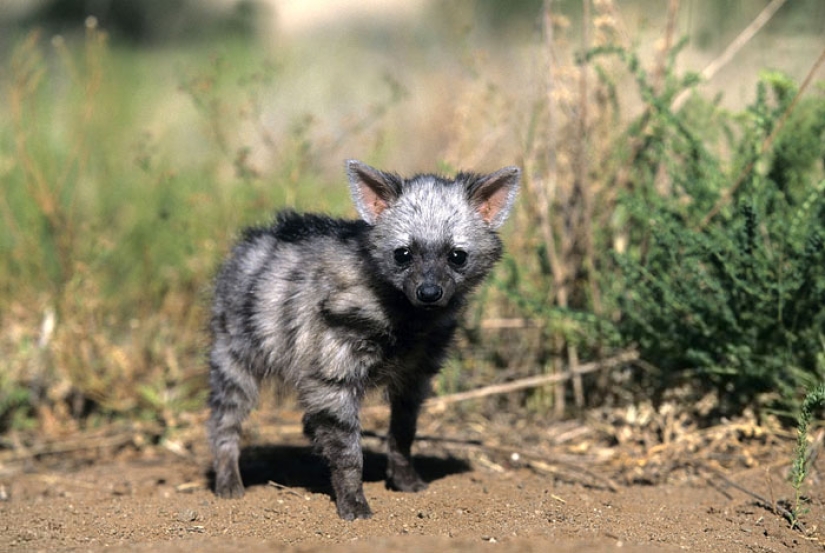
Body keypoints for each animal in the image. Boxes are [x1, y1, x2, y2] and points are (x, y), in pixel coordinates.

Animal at [207, 160, 520, 520]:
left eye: (457, 256)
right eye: (403, 254)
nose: (428, 293)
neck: (408, 320)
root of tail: (252, 241)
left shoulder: (416, 374)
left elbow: (403, 431)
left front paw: (406, 481)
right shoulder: (332, 369)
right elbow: (347, 449)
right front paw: (354, 504)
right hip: (235, 350)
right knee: (226, 418)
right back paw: (229, 484)